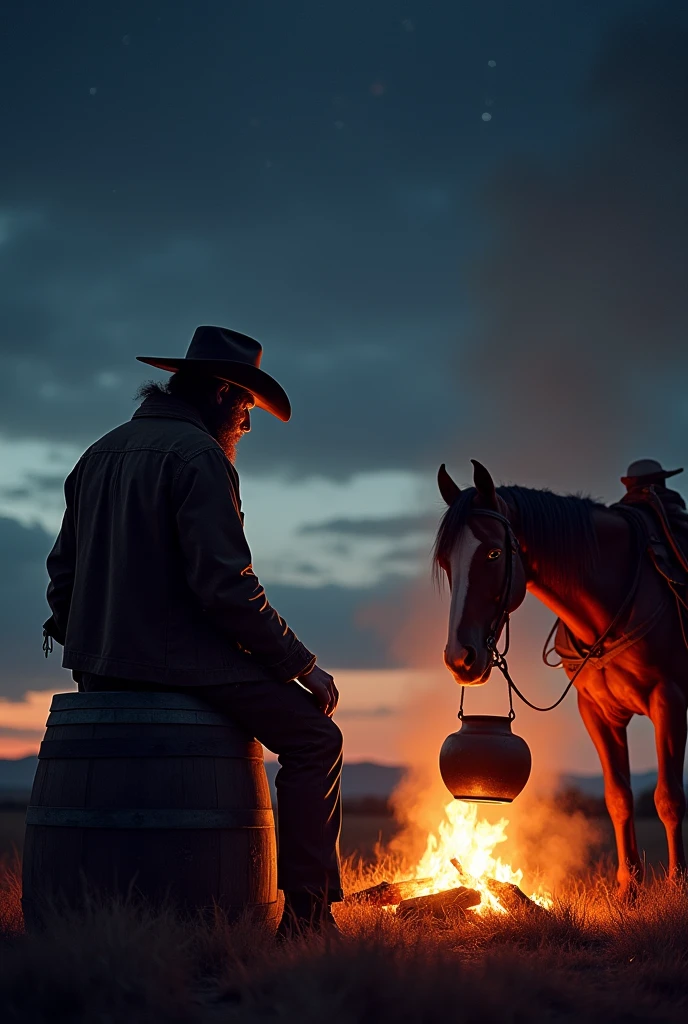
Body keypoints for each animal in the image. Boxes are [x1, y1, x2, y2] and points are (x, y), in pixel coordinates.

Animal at [436, 460, 688, 892]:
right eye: (446, 561)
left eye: (493, 552)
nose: (460, 659)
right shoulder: (597, 712)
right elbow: (618, 797)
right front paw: (628, 889)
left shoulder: (668, 700)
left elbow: (668, 797)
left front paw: (676, 887)